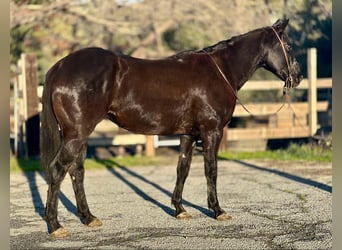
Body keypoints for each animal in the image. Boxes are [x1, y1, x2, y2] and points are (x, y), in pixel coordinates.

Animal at [39, 18, 302, 237]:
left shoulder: (188, 134)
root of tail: (59, 67)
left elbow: (182, 169)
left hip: (79, 135)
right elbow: (211, 170)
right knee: (58, 170)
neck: (220, 71)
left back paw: (88, 217)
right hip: (76, 134)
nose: (297, 77)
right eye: (288, 47)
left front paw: (179, 209)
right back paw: (55, 225)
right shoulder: (212, 131)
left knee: (76, 171)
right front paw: (217, 210)